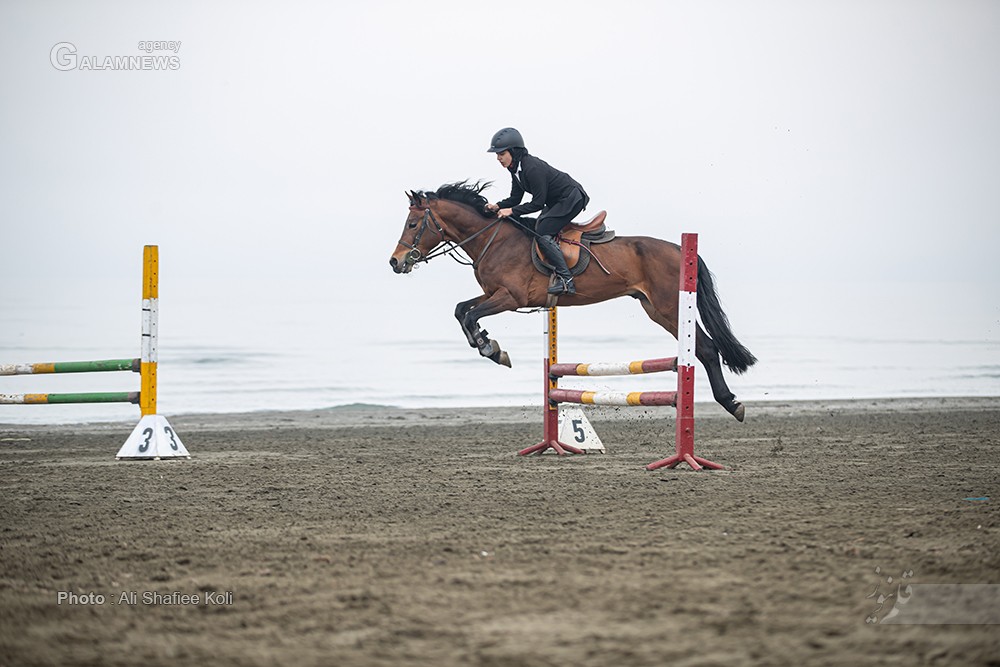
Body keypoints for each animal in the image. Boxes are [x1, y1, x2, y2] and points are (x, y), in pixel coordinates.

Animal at [389, 181, 757, 422]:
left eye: (412, 224)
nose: (395, 262)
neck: (493, 240)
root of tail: (681, 249)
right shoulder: (494, 294)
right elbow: (461, 310)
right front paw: (490, 346)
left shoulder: (510, 297)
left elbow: (470, 315)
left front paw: (491, 349)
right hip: (654, 308)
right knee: (706, 348)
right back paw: (730, 403)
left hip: (670, 307)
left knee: (706, 348)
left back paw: (731, 403)